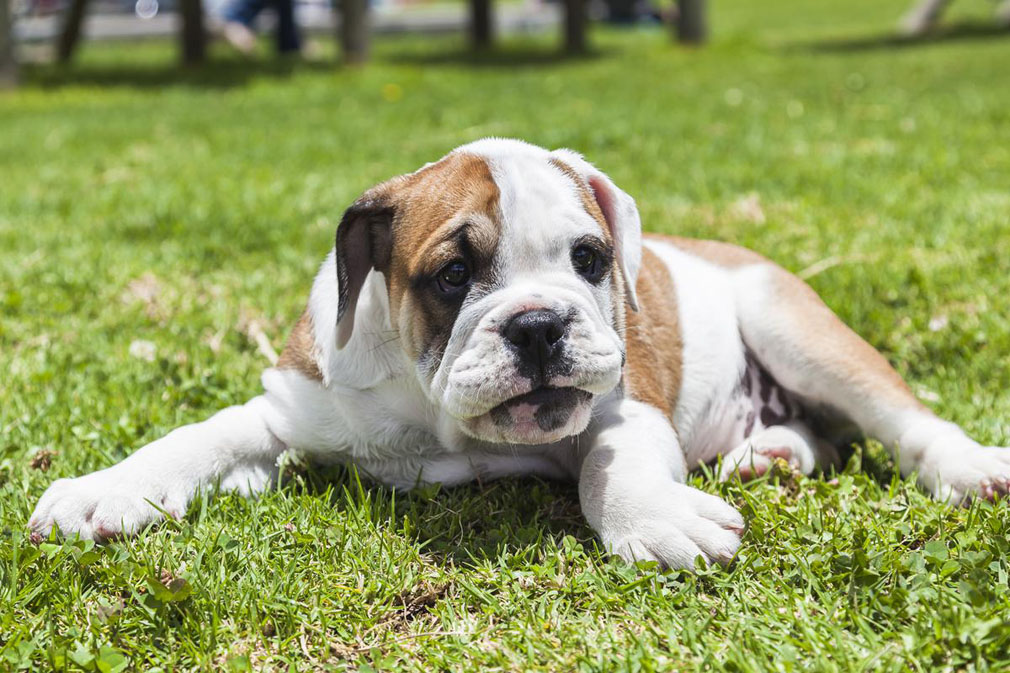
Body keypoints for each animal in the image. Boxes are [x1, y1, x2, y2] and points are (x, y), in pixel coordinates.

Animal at [29, 138, 1010, 569]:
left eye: (590, 259)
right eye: (454, 274)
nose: (539, 325)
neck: (435, 417)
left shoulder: (622, 407)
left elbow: (609, 462)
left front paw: (659, 520)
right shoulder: (290, 406)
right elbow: (201, 434)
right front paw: (104, 490)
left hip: (792, 323)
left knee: (900, 419)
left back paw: (968, 467)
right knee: (825, 433)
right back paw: (771, 453)